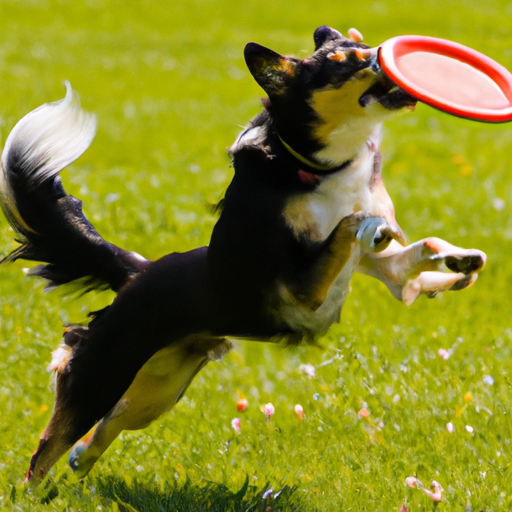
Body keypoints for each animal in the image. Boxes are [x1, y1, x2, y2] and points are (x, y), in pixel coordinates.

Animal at [0, 27, 486, 484]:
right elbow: (349, 226)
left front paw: (459, 262)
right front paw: (372, 227)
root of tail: (138, 272)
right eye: (344, 63)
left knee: (102, 431)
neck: (321, 166)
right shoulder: (302, 287)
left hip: (158, 390)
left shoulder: (378, 268)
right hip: (100, 375)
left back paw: (80, 462)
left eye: (365, 45)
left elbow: (420, 251)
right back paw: (36, 494)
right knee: (44, 453)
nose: (387, 56)